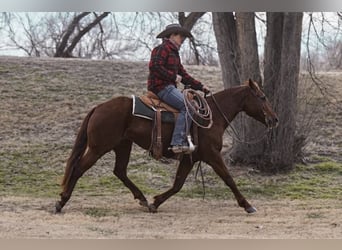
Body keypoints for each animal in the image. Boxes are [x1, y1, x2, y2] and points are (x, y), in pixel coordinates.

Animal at [55, 79, 278, 214]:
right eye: (263, 97)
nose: (274, 119)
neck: (212, 117)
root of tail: (98, 107)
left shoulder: (190, 157)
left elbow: (178, 184)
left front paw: (155, 202)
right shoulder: (212, 155)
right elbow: (229, 179)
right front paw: (247, 205)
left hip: (122, 145)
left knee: (119, 171)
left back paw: (142, 199)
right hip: (98, 147)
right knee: (78, 168)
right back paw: (61, 202)